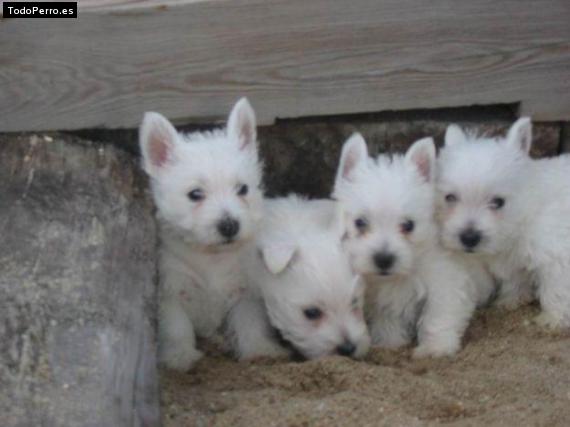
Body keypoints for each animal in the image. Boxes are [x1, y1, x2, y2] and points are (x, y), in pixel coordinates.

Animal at [139, 98, 262, 372]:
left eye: (243, 189)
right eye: (195, 194)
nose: (230, 225)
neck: (211, 256)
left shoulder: (245, 291)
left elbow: (249, 322)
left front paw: (261, 352)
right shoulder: (171, 290)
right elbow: (177, 328)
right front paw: (180, 358)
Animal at [224, 196, 370, 362]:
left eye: (354, 302)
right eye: (312, 312)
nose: (348, 348)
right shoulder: (248, 290)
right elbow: (248, 319)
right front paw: (262, 350)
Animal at [332, 134, 492, 358]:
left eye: (408, 225)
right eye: (360, 223)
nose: (384, 259)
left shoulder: (446, 284)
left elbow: (438, 317)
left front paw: (436, 348)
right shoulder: (383, 298)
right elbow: (387, 319)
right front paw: (390, 342)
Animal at [434, 118, 568, 330]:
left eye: (498, 202)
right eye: (450, 197)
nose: (469, 238)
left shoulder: (557, 255)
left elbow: (556, 288)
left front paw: (553, 319)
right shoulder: (512, 260)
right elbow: (515, 280)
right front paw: (511, 301)